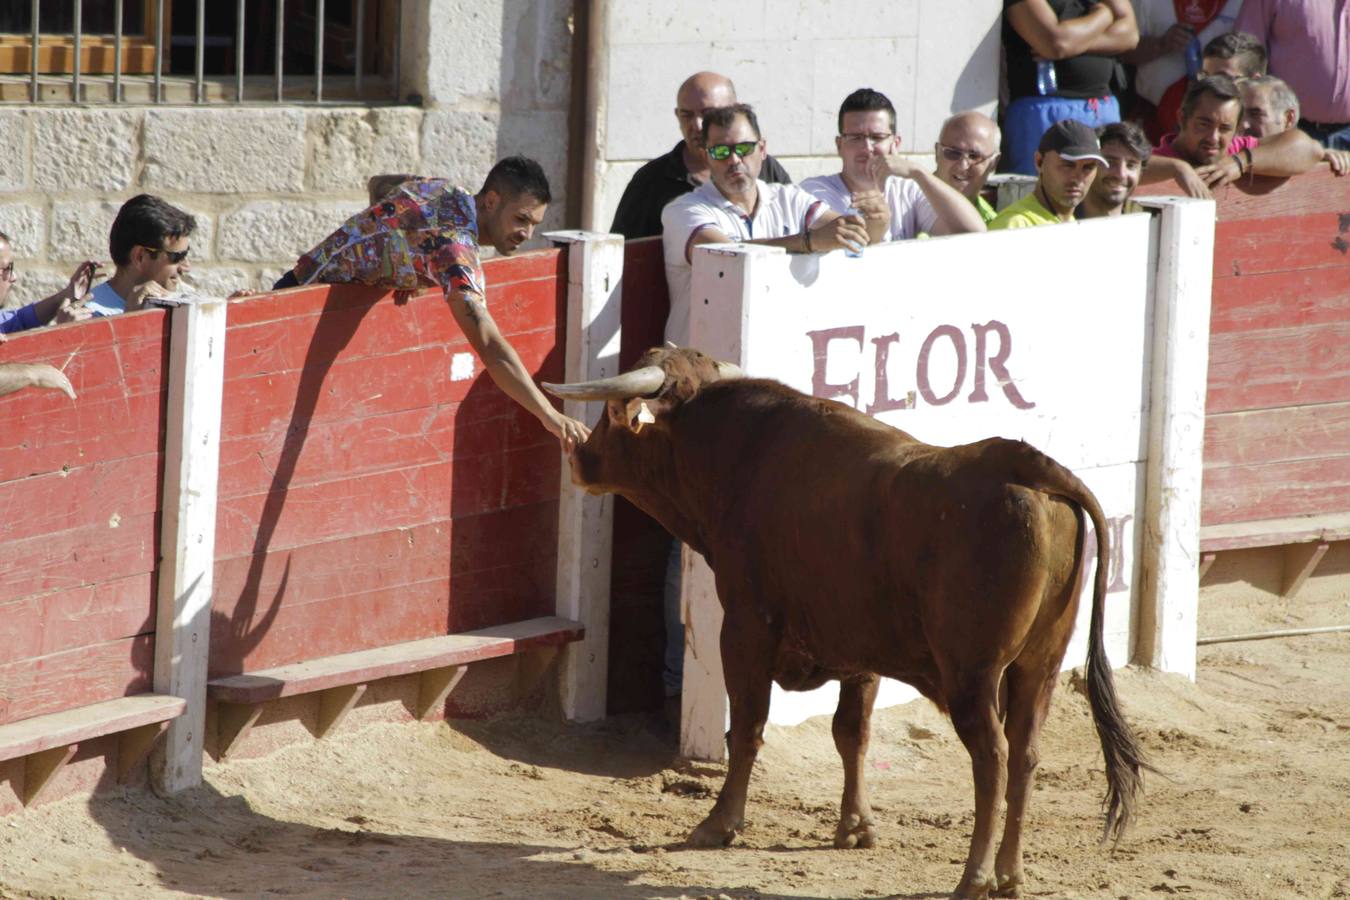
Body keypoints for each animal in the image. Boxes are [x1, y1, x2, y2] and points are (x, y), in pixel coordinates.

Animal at [542, 348, 1144, 900]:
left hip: (971, 673)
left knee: (991, 757)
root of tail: (1029, 466)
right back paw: (1010, 876)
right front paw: (856, 827)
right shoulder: (861, 648)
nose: (581, 456)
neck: (733, 451)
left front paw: (719, 824)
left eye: (614, 411)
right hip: (1040, 666)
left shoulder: (744, 626)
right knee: (1025, 753)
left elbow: (748, 727)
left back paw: (973, 879)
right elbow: (852, 732)